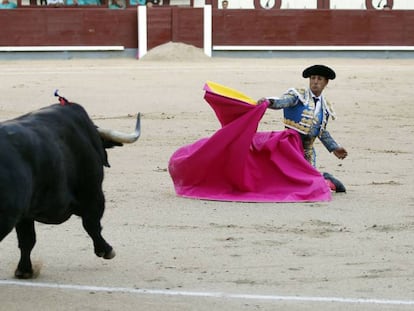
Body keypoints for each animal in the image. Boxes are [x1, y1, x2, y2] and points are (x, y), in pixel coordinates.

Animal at [0, 103, 141, 280]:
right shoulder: (94, 194)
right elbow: (92, 225)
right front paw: (106, 250)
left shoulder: (25, 214)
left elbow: (27, 240)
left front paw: (24, 271)